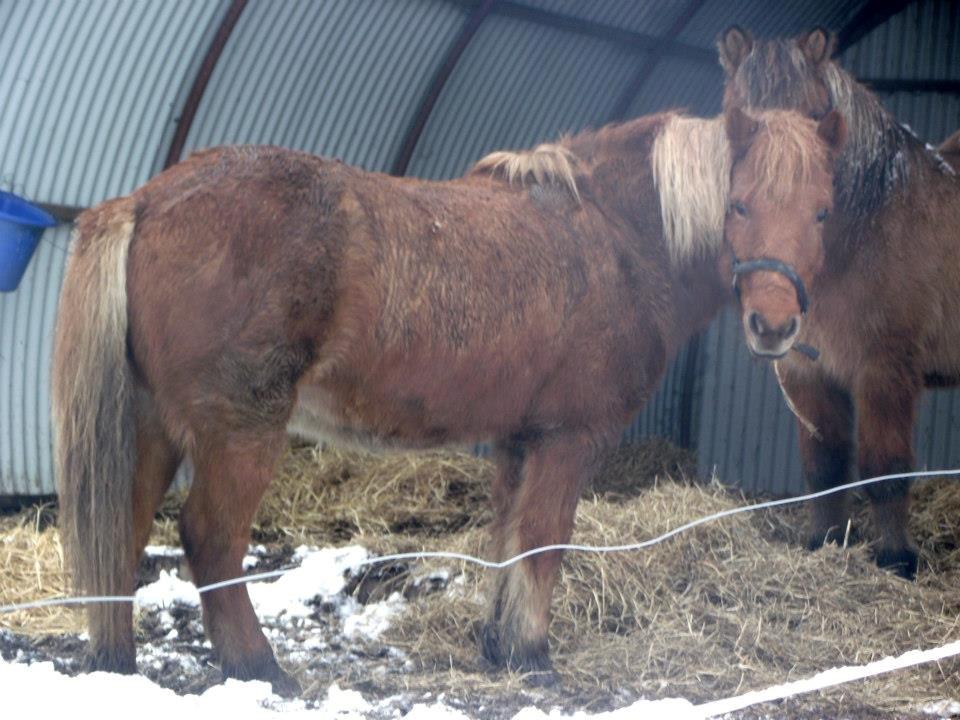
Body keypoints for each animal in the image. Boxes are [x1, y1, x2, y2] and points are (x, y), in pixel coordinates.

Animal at [50, 105, 840, 692]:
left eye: (823, 214)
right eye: (738, 204)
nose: (775, 326)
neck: (613, 236)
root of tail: (146, 200)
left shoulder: (521, 439)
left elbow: (508, 539)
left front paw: (499, 647)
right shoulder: (567, 439)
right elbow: (544, 541)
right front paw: (533, 658)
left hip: (154, 427)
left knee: (123, 528)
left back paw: (116, 666)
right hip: (241, 430)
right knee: (211, 537)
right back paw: (260, 669)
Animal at [720, 26, 960, 580]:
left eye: (815, 117)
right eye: (735, 118)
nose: (770, 319)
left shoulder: (885, 371)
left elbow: (884, 467)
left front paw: (896, 559)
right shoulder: (807, 372)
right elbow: (826, 465)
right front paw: (825, 542)